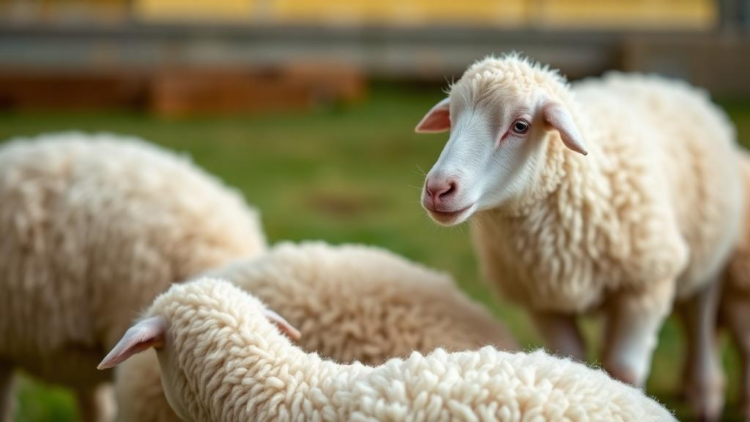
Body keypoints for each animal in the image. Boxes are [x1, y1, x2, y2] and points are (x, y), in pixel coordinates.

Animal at [414, 54, 743, 420]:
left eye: (520, 126)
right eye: (452, 119)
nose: (438, 189)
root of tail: (663, 81)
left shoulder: (645, 287)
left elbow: (626, 369)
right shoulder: (543, 299)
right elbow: (570, 361)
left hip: (709, 249)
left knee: (701, 317)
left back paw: (705, 393)